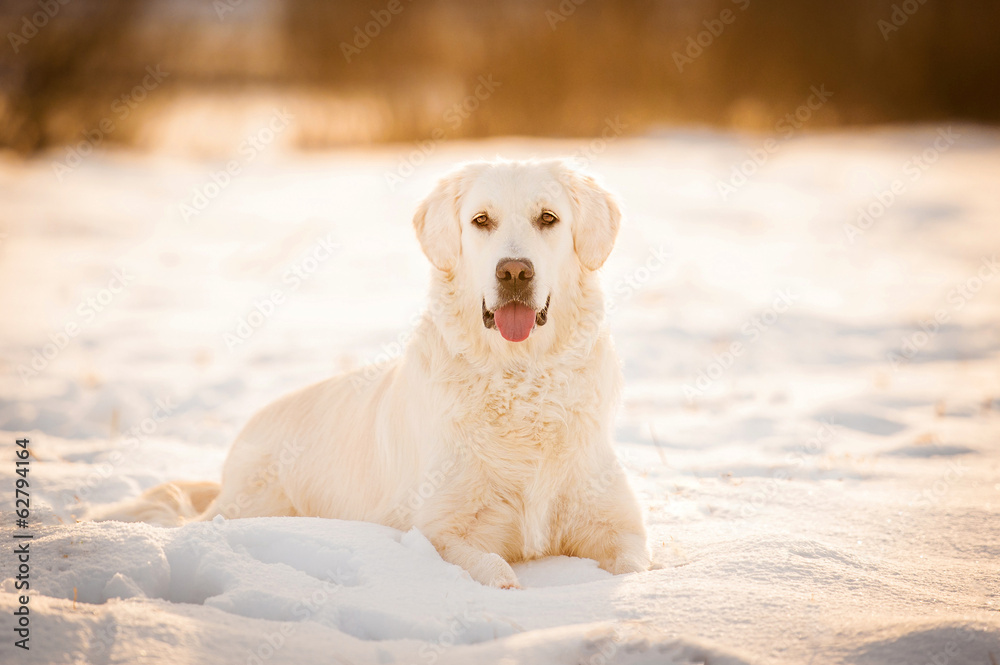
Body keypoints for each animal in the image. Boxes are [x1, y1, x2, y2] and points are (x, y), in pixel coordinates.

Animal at [101, 160, 648, 588]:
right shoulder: (440, 529)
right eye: (481, 221)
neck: (520, 376)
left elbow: (635, 566)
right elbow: (492, 569)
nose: (514, 271)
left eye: (548, 218)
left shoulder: (621, 525)